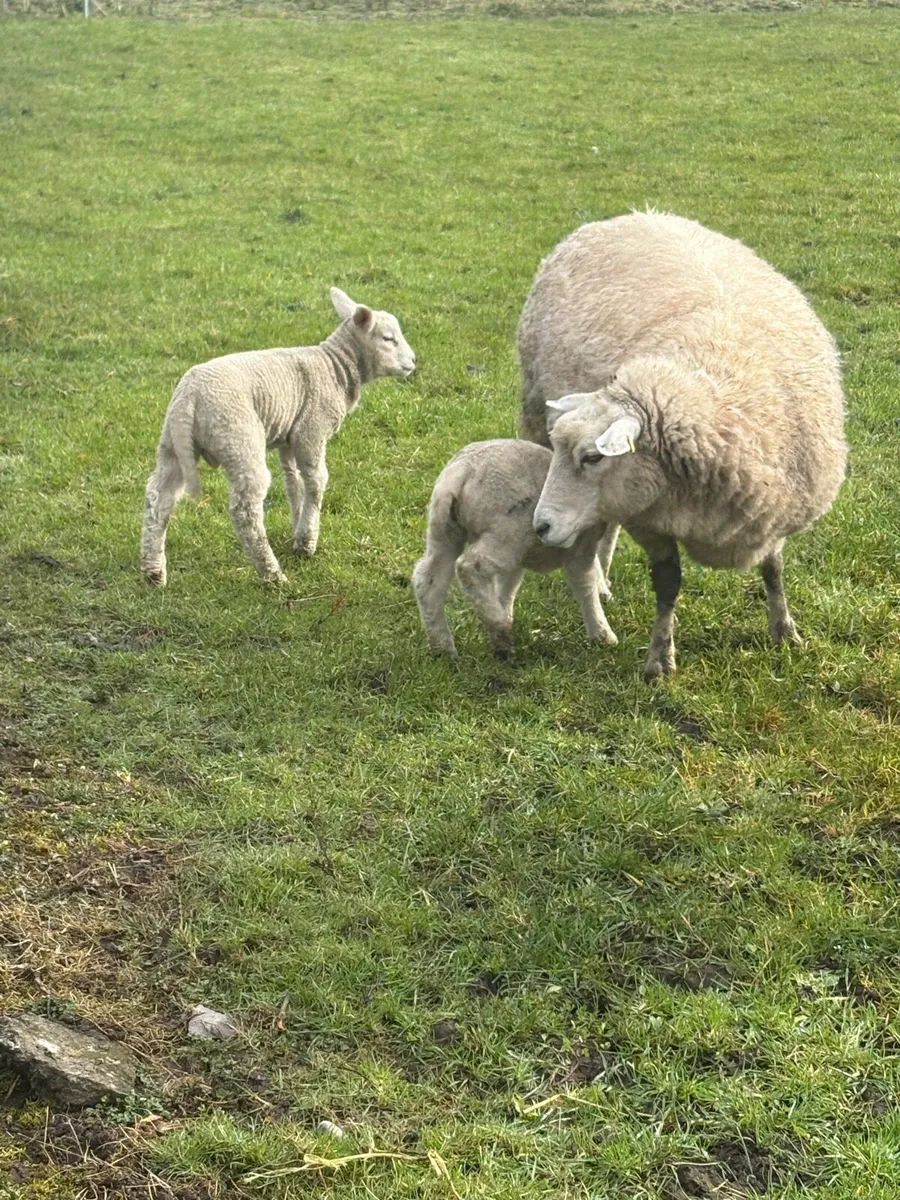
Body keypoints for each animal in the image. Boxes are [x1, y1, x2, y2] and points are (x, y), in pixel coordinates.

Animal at [140, 288, 416, 587]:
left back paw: (153, 572)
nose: (413, 361)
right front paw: (307, 541)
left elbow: (294, 482)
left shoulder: (289, 438)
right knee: (246, 509)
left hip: (173, 444)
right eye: (388, 338)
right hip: (238, 438)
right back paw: (271, 573)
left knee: (159, 497)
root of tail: (191, 396)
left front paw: (298, 528)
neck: (335, 368)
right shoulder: (311, 431)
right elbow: (316, 482)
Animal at [412, 439, 616, 660]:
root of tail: (460, 471)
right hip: (509, 531)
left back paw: (443, 647)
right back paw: (498, 623)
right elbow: (585, 584)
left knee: (428, 579)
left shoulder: (522, 558)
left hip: (445, 528)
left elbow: (508, 586)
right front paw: (602, 634)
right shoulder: (579, 546)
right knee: (469, 566)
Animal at [526, 211, 846, 679]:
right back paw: (598, 588)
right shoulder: (651, 518)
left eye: (592, 457)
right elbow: (668, 584)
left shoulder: (774, 511)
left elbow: (774, 570)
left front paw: (785, 632)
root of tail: (631, 214)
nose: (542, 526)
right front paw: (659, 659)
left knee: (606, 525)